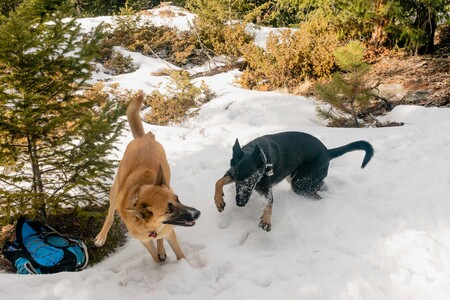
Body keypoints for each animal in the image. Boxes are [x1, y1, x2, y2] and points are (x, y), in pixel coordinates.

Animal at [94, 92, 200, 262]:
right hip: (115, 191)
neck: (151, 226)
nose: (197, 213)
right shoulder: (145, 241)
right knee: (110, 214)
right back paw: (101, 236)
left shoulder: (169, 233)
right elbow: (154, 258)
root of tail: (144, 138)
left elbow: (178, 254)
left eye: (177, 199)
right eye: (168, 209)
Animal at [214, 131, 372, 232]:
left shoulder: (265, 188)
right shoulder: (232, 173)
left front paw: (266, 220)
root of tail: (327, 152)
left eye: (251, 180)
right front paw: (219, 201)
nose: (240, 203)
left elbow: (269, 202)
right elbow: (218, 181)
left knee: (316, 196)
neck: (261, 157)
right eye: (237, 180)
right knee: (319, 186)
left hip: (299, 184)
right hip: (295, 178)